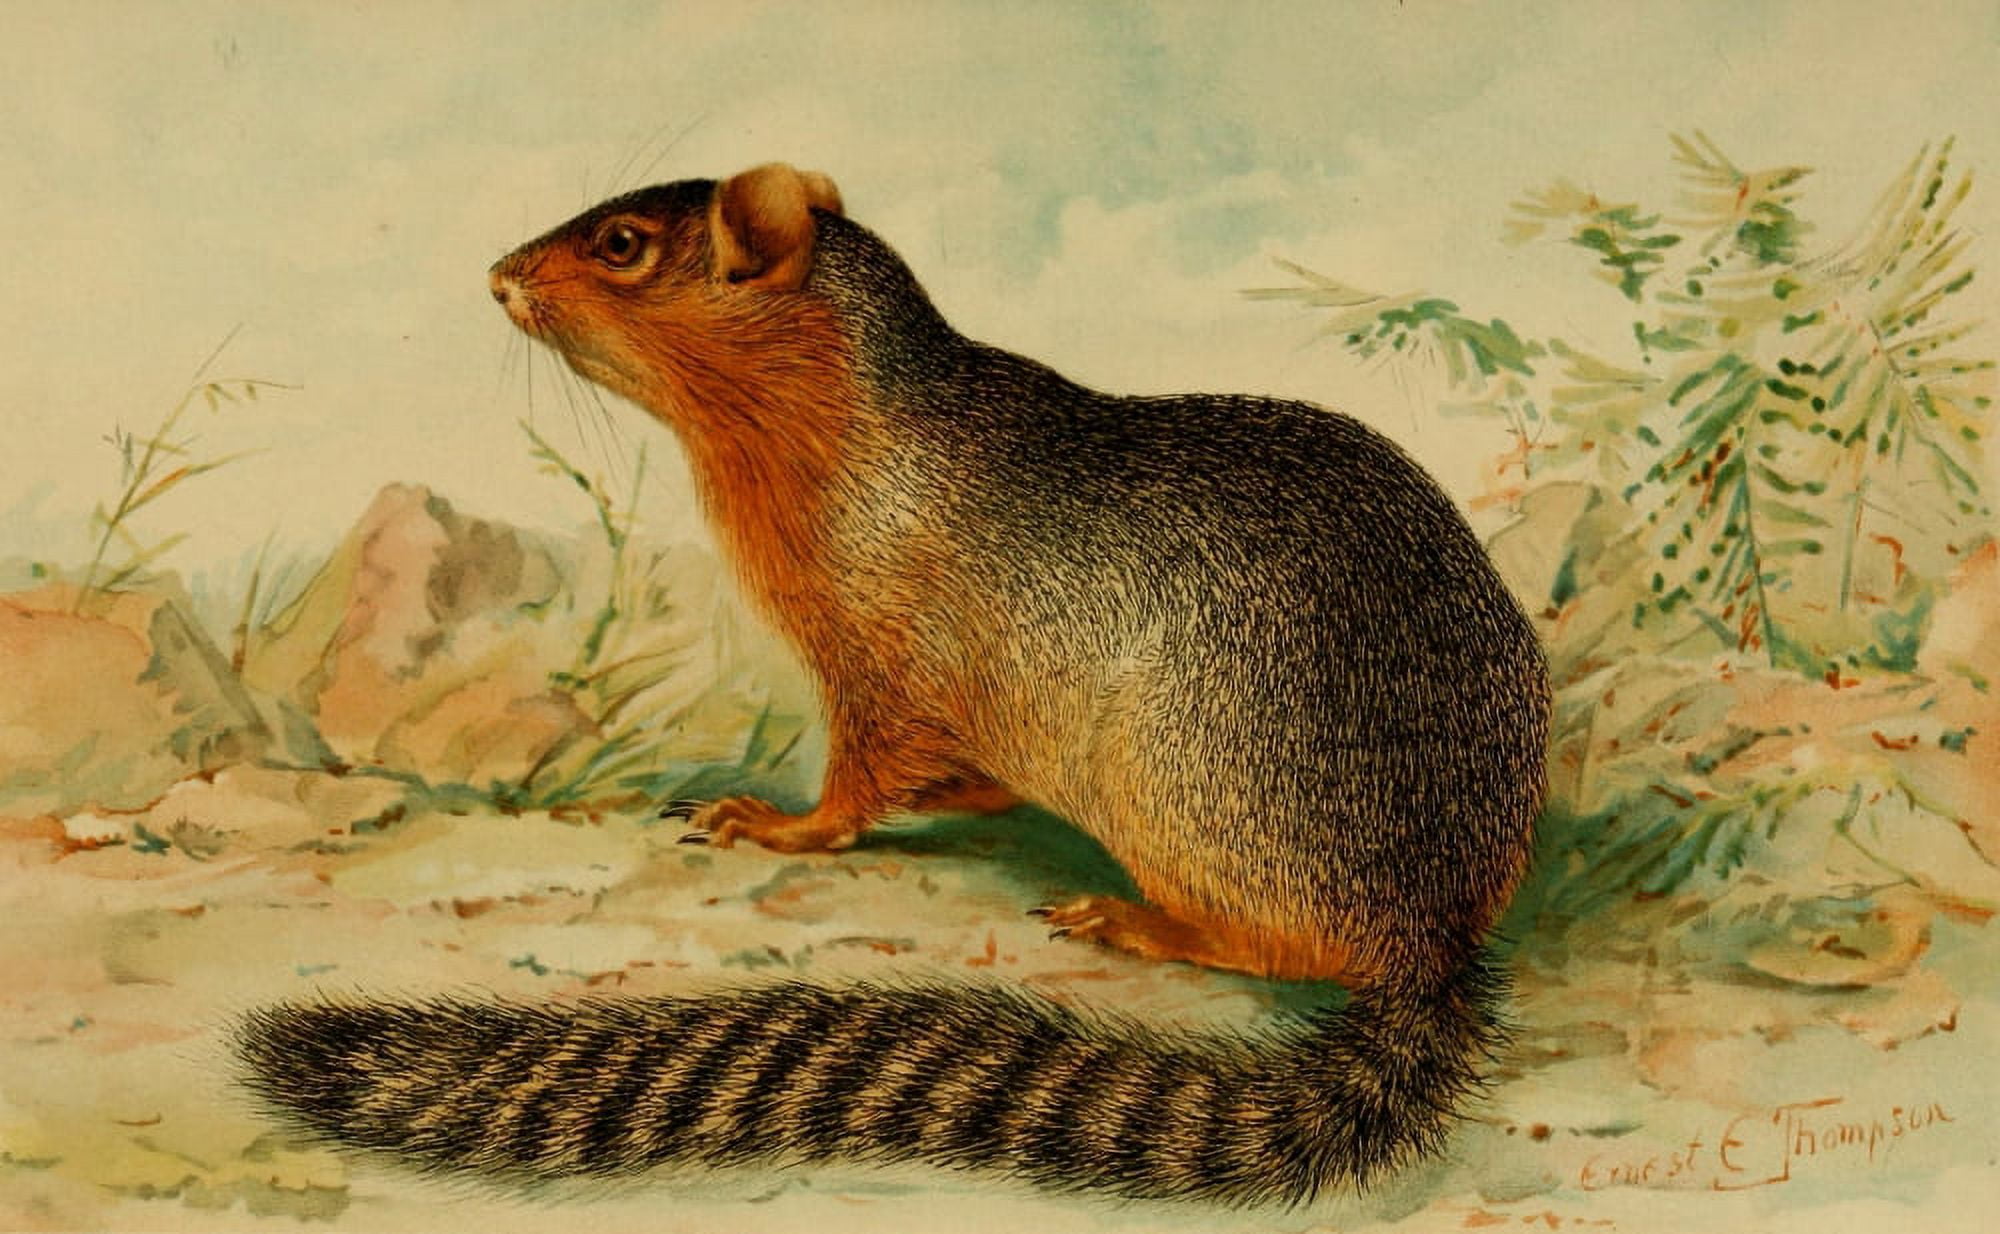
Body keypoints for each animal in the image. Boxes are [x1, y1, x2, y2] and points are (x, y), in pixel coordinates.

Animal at [238, 163, 1550, 1206]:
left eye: (621, 243)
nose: (499, 274)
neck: (854, 429)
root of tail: (1431, 938)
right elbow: (955, 779)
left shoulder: (877, 652)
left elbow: (859, 781)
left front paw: (766, 820)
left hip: (1173, 790)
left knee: (1275, 945)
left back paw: (1131, 916)